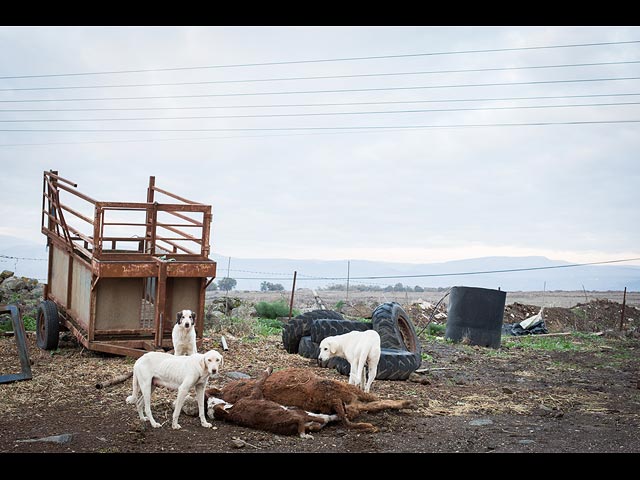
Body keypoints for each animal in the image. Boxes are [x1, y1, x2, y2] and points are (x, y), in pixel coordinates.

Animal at [205, 368, 416, 432]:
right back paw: (408, 404)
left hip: (349, 399)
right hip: (343, 392)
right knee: (374, 402)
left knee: (374, 402)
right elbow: (377, 400)